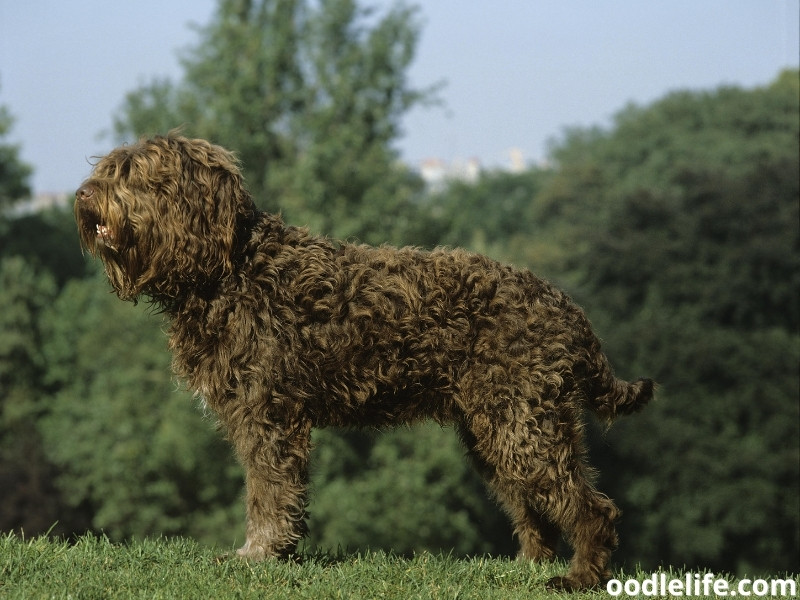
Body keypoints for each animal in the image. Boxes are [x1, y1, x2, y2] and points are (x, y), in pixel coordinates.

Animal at [72, 134, 652, 588]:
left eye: (135, 174)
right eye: (108, 169)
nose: (81, 195)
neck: (231, 269)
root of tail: (568, 309)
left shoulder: (268, 415)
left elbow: (268, 492)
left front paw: (258, 556)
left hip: (522, 424)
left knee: (592, 508)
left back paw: (579, 578)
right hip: (497, 428)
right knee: (535, 508)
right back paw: (527, 567)